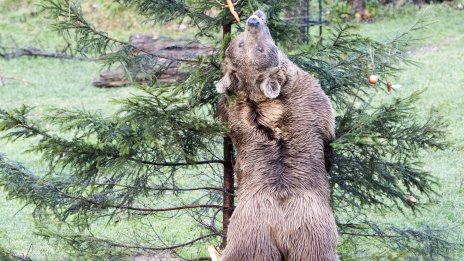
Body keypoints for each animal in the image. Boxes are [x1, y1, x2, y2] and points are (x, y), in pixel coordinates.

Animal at [216, 10, 338, 260]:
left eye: (257, 48)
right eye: (245, 45)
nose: (254, 19)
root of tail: (278, 224)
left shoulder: (231, 113)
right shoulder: (309, 96)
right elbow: (328, 121)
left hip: (250, 237)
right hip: (313, 232)